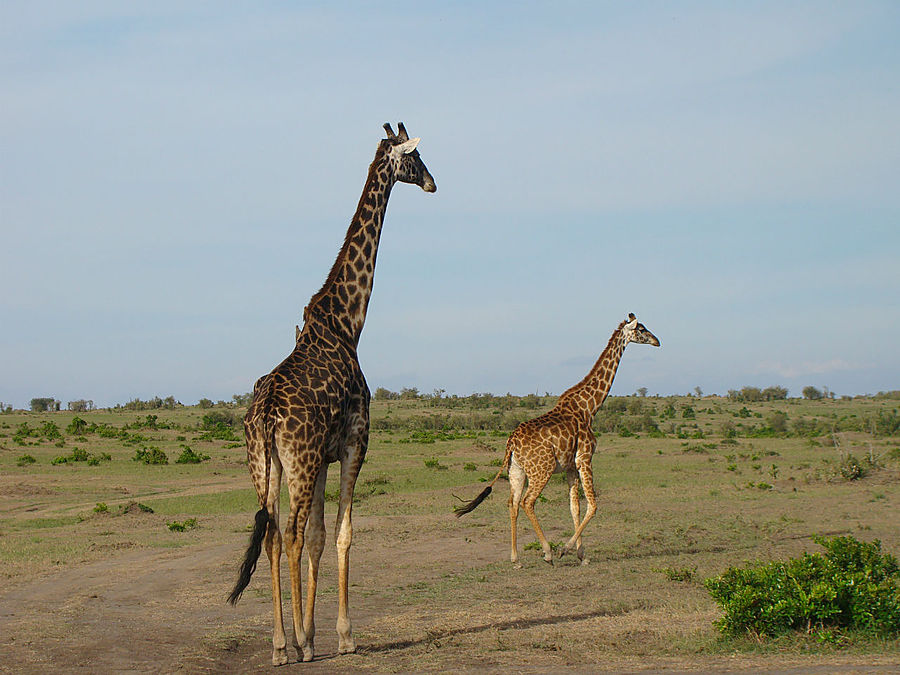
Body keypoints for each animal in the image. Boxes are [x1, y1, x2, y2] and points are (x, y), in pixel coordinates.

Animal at [227, 121, 434, 664]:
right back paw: (293, 642)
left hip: (266, 465)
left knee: (275, 536)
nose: (433, 183)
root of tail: (265, 413)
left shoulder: (321, 456)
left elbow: (321, 538)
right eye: (415, 157)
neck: (348, 323)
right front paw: (341, 636)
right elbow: (342, 535)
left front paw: (314, 632)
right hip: (295, 463)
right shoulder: (353, 445)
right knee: (289, 534)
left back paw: (281, 643)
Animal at [458, 316, 660, 564]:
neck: (589, 408)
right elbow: (593, 505)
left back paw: (515, 559)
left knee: (512, 504)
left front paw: (582, 555)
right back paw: (547, 552)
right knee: (527, 502)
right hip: (541, 470)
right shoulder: (585, 458)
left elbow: (574, 507)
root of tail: (511, 442)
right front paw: (566, 549)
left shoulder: (570, 466)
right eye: (642, 329)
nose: (657, 341)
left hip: (516, 470)